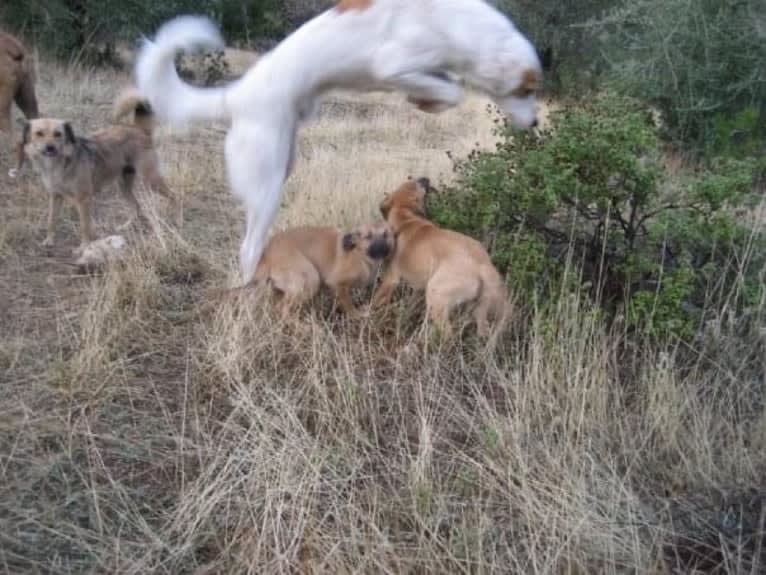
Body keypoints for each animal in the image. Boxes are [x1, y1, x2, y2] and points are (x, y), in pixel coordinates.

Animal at [20, 90, 173, 250]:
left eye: (58, 134)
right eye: (39, 133)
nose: (50, 148)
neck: (59, 164)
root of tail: (138, 129)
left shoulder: (83, 200)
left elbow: (84, 226)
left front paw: (85, 246)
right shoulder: (55, 196)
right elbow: (51, 220)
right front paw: (49, 240)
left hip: (150, 180)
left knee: (172, 195)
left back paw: (174, 215)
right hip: (123, 186)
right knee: (136, 207)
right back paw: (127, 226)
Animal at [136, 0, 544, 286]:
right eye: (526, 90)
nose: (536, 123)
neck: (457, 22)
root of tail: (234, 96)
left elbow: (446, 86)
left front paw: (427, 100)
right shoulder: (392, 65)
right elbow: (453, 91)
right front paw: (431, 100)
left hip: (284, 162)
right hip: (267, 185)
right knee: (248, 248)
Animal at [255, 223, 396, 318]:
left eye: (386, 234)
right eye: (368, 237)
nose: (382, 248)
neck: (359, 255)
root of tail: (266, 255)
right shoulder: (336, 283)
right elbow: (348, 304)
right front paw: (356, 315)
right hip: (310, 278)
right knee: (282, 309)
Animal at [374, 177, 510, 338]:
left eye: (417, 184)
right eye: (412, 181)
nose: (425, 178)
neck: (405, 217)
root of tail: (483, 264)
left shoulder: (391, 280)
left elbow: (377, 300)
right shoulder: (418, 288)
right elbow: (410, 306)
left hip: (436, 295)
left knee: (447, 333)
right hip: (478, 308)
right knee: (483, 330)